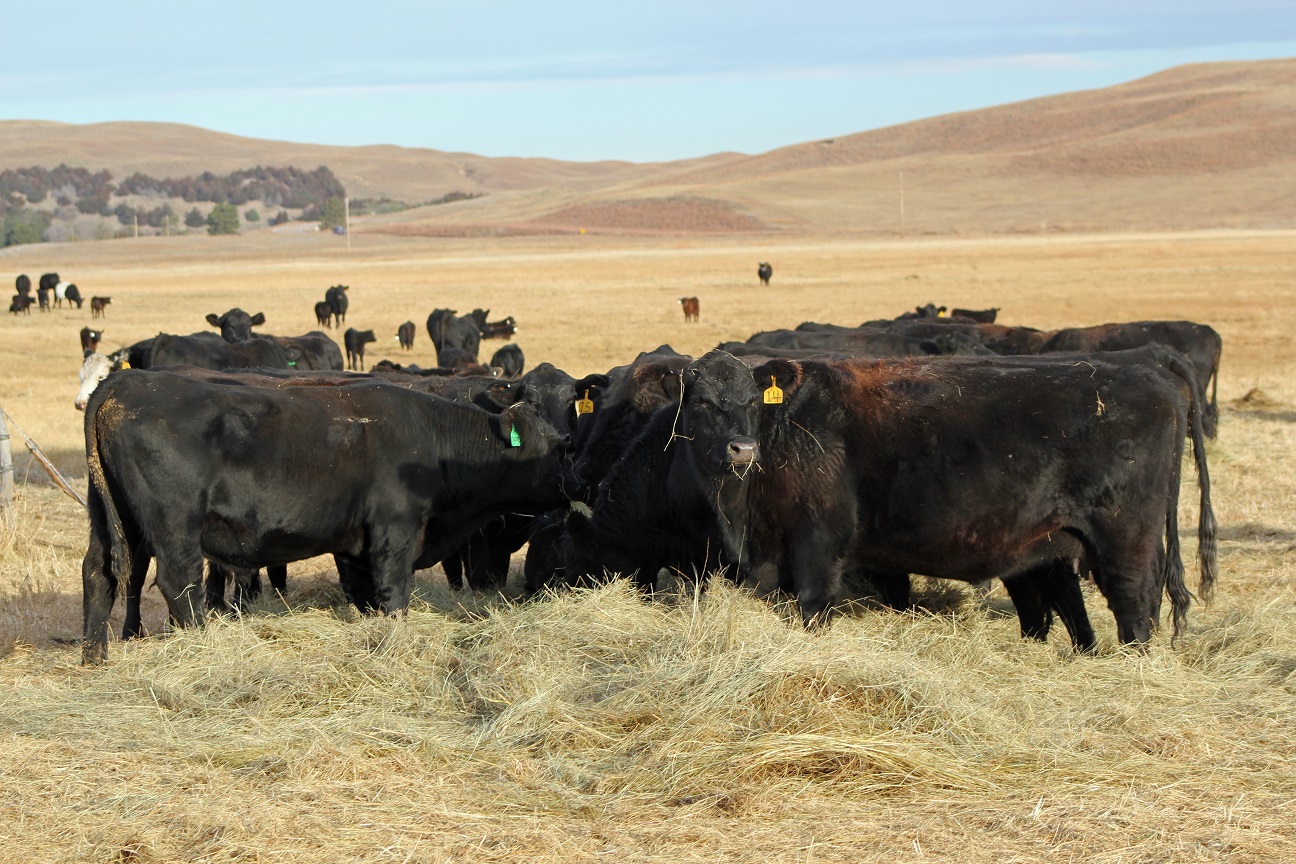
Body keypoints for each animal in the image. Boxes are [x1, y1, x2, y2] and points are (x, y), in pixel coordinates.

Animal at [80, 369, 572, 663]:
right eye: (555, 448)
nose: (578, 479)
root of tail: (127, 381)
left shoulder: (360, 547)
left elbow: (365, 595)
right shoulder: (395, 532)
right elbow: (394, 594)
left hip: (111, 520)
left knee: (98, 574)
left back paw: (94, 657)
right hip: (174, 528)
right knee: (179, 584)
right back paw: (204, 648)